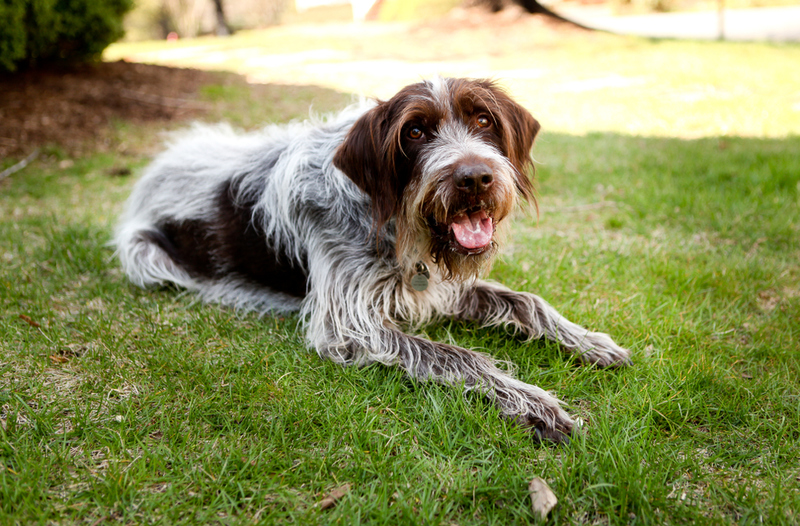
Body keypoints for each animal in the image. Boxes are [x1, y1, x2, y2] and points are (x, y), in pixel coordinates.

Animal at [115, 77, 632, 442]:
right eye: (416, 131)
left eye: (484, 121)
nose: (474, 178)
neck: (396, 227)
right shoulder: (348, 325)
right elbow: (458, 356)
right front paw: (534, 404)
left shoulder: (439, 287)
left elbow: (527, 301)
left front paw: (590, 342)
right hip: (145, 255)